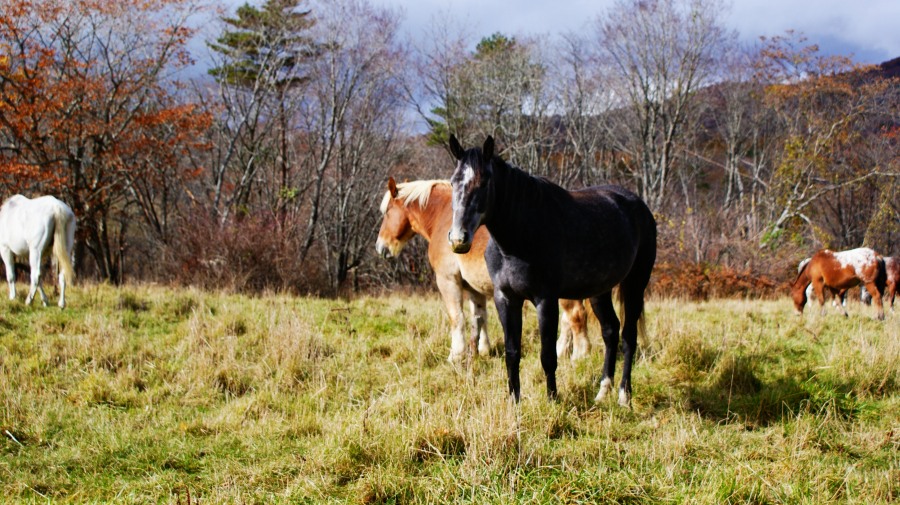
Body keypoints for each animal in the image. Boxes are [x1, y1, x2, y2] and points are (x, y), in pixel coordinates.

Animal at [374, 177, 592, 362]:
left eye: (387, 212)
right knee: (567, 320)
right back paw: (561, 351)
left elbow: (457, 318)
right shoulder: (474, 288)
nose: (380, 247)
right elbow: (479, 317)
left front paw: (456, 355)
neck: (443, 218)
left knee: (576, 316)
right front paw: (483, 350)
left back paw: (579, 357)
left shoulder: (447, 281)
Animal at [448, 134, 652, 406]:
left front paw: (553, 400)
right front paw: (514, 402)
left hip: (635, 284)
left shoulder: (545, 300)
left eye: (483, 182)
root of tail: (640, 206)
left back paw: (623, 396)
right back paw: (602, 392)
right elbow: (512, 352)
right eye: (453, 182)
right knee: (611, 331)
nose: (458, 239)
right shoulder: (506, 299)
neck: (518, 240)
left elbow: (548, 355)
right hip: (600, 291)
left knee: (629, 337)